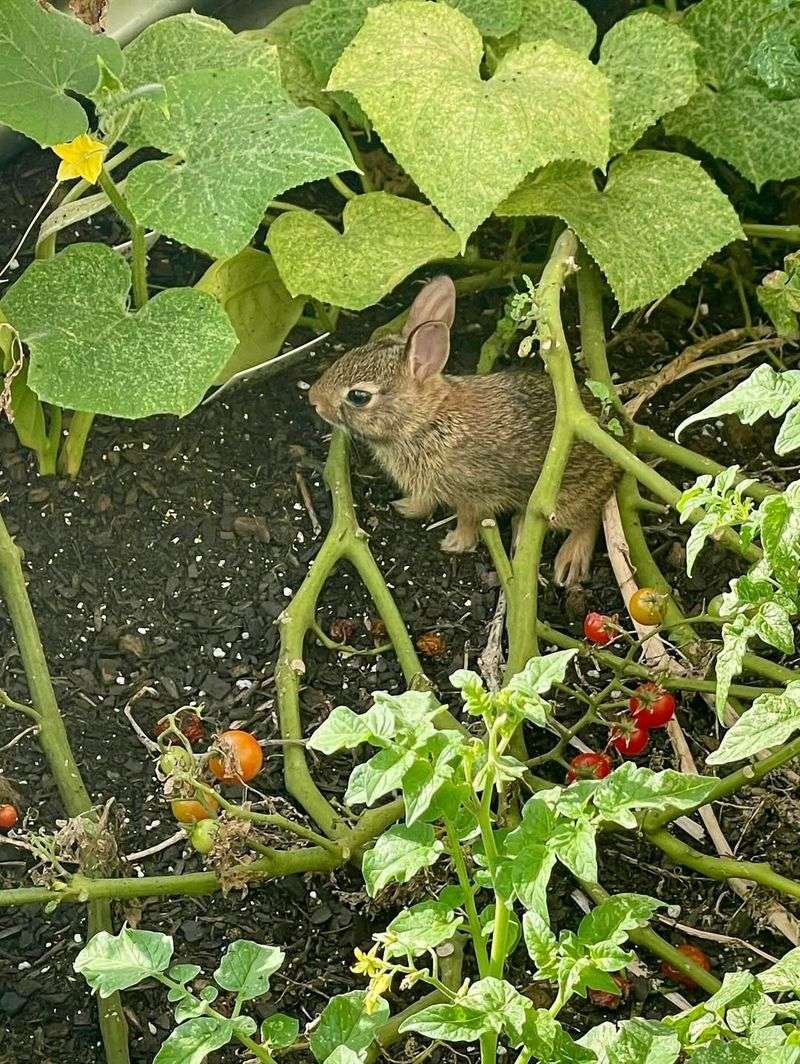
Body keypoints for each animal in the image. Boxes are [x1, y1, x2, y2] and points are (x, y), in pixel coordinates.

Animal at [308, 276, 617, 585]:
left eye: (359, 396)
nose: (314, 399)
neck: (423, 422)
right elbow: (424, 502)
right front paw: (405, 507)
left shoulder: (470, 493)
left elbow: (468, 519)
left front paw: (455, 543)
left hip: (562, 498)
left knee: (588, 520)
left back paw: (569, 560)